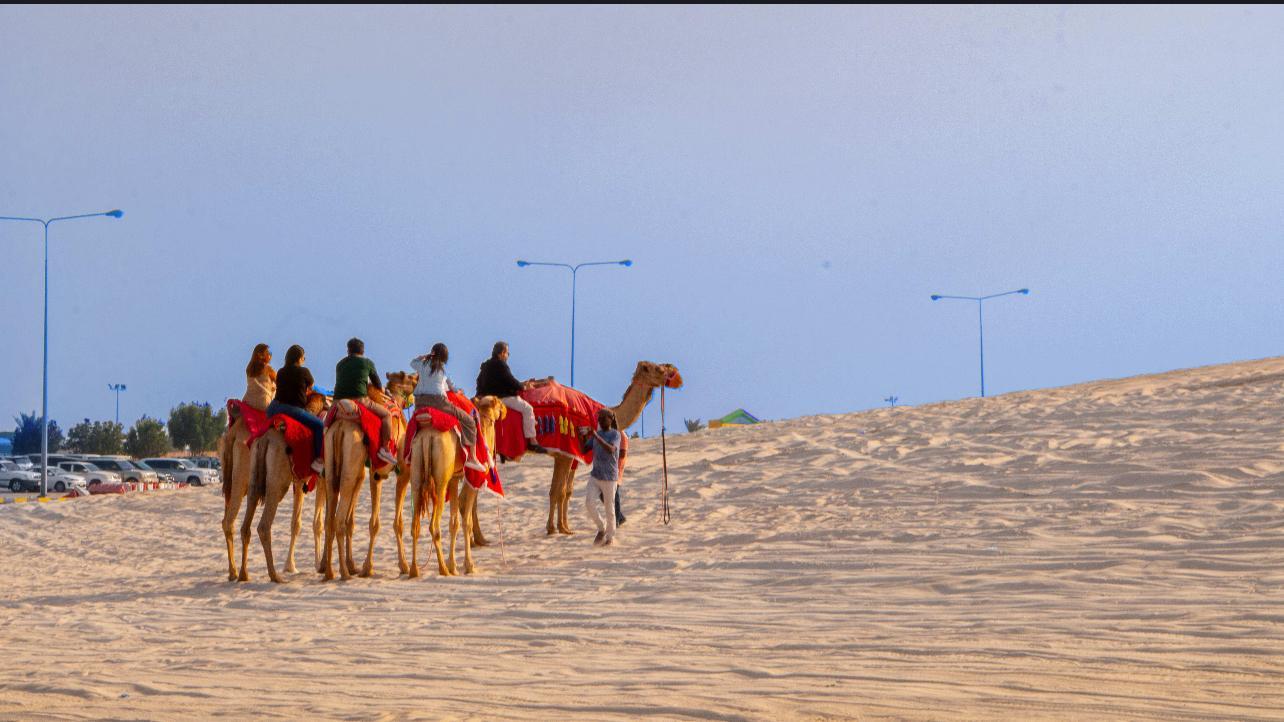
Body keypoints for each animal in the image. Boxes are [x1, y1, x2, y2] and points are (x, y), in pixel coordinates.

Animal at [235, 393, 330, 584]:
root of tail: (265, 440)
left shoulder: (300, 481)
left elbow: (296, 523)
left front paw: (291, 566)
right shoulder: (321, 480)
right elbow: (319, 523)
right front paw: (319, 565)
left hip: (254, 474)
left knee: (246, 524)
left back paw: (244, 574)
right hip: (278, 482)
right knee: (264, 525)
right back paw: (275, 576)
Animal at [319, 372, 415, 581]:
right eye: (412, 378)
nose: (418, 375)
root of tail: (341, 427)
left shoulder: (374, 474)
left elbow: (371, 523)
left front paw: (364, 567)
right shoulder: (401, 472)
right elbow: (396, 523)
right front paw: (402, 566)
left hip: (333, 468)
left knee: (330, 520)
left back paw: (330, 571)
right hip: (350, 465)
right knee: (339, 520)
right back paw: (345, 573)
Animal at [404, 395, 506, 578]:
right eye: (499, 403)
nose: (506, 409)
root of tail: (427, 437)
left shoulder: (454, 479)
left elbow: (454, 523)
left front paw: (454, 565)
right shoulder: (471, 479)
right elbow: (466, 521)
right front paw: (468, 565)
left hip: (416, 471)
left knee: (415, 525)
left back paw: (415, 570)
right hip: (440, 481)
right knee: (434, 526)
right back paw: (443, 569)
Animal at [542, 361, 682, 536]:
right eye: (659, 369)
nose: (676, 372)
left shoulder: (574, 456)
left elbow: (567, 491)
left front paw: (565, 527)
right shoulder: (564, 455)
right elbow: (557, 491)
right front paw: (553, 529)